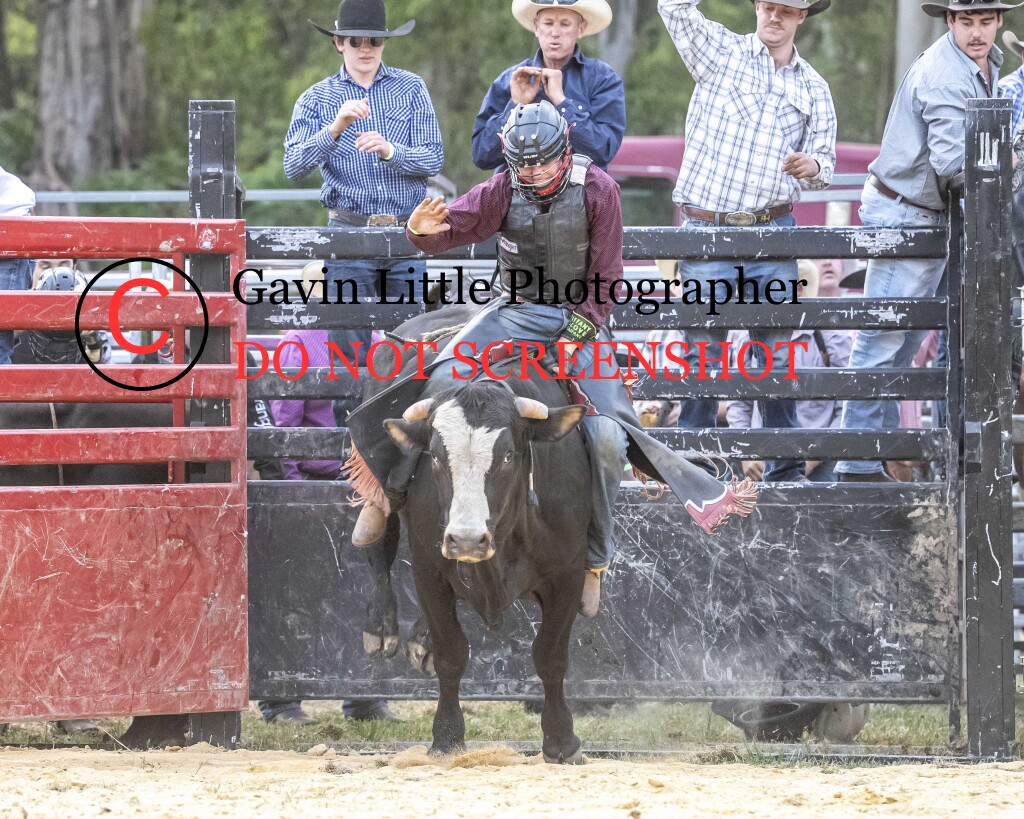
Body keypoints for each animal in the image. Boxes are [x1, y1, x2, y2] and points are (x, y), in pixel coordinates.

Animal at [381, 374, 590, 762]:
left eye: (508, 455)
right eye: (435, 456)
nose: (465, 541)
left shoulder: (568, 574)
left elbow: (550, 656)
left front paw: (561, 741)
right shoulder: (428, 573)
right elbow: (451, 654)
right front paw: (447, 737)